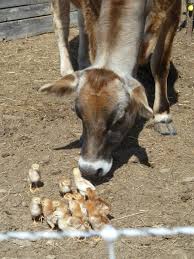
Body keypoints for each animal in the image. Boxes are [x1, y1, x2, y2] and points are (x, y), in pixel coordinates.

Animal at [39, 0, 182, 179]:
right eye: (79, 114)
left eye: (120, 119)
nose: (89, 169)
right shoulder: (93, 9)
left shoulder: (173, 8)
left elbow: (160, 64)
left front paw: (162, 116)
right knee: (60, 24)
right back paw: (67, 69)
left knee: (80, 22)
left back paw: (83, 61)